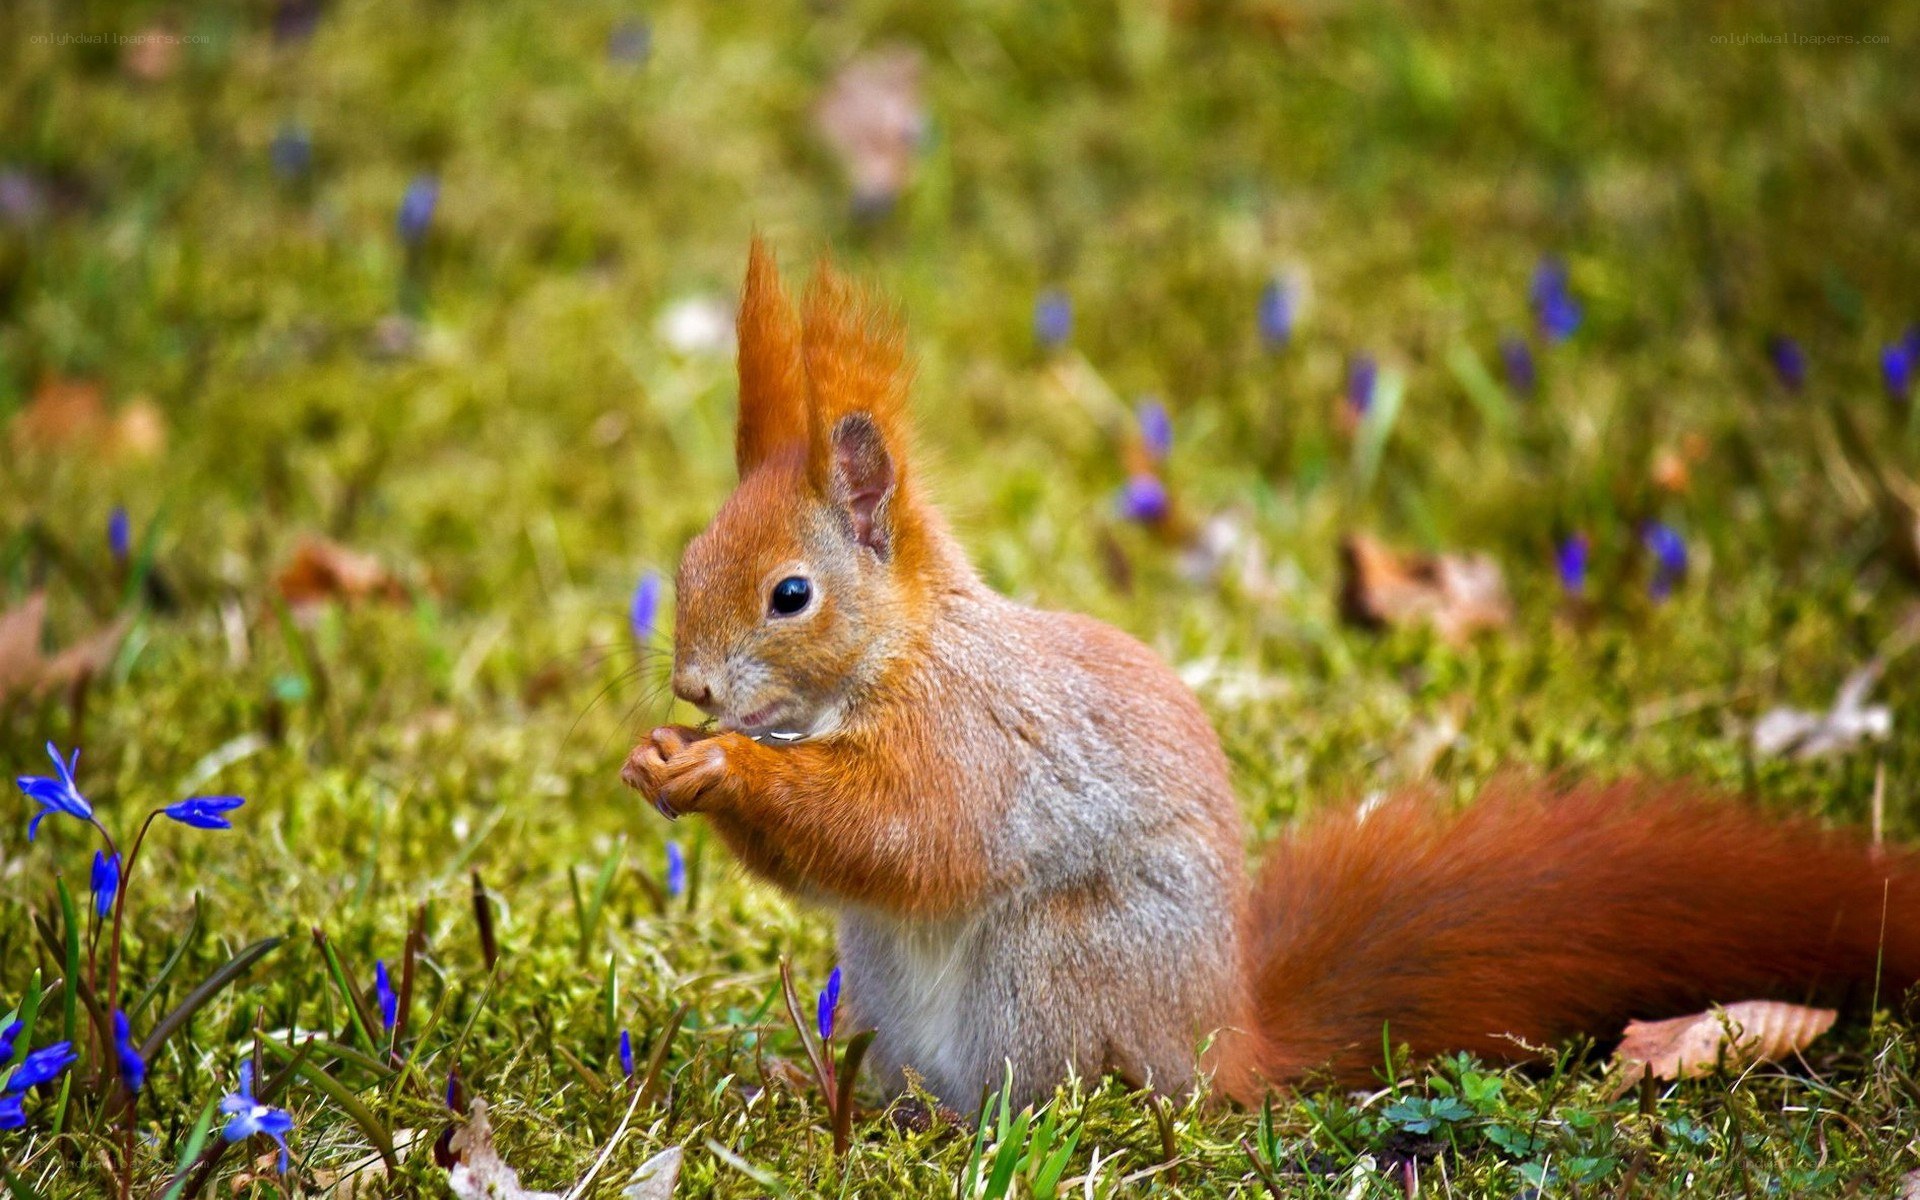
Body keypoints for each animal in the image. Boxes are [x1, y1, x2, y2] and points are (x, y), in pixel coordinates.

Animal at [621, 239, 1920, 1108]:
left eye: (792, 595)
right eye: (685, 560)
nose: (693, 693)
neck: (896, 657)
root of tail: (1218, 1039)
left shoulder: (974, 737)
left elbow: (908, 831)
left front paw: (722, 771)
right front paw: (660, 758)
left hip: (1057, 969)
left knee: (1052, 1093)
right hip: (884, 977)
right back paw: (829, 1090)